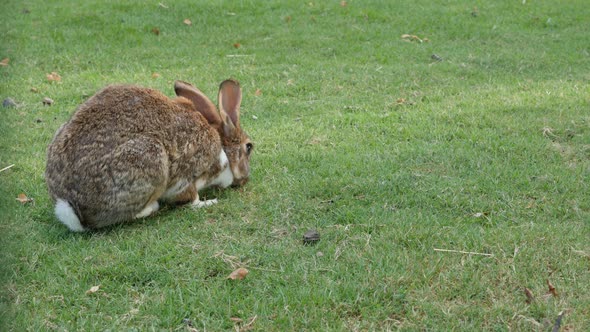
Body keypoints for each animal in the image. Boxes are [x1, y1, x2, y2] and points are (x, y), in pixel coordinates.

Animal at [43, 79, 252, 232]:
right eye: (249, 147)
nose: (246, 179)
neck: (222, 145)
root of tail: (74, 210)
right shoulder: (188, 174)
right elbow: (191, 197)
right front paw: (207, 202)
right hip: (150, 158)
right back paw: (152, 207)